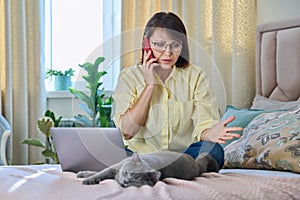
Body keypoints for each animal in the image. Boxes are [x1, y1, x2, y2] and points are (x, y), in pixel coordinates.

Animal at [76, 152, 219, 188]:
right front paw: (85, 176)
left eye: (135, 181)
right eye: (126, 172)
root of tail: (196, 164)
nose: (125, 181)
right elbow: (100, 172)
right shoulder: (114, 168)